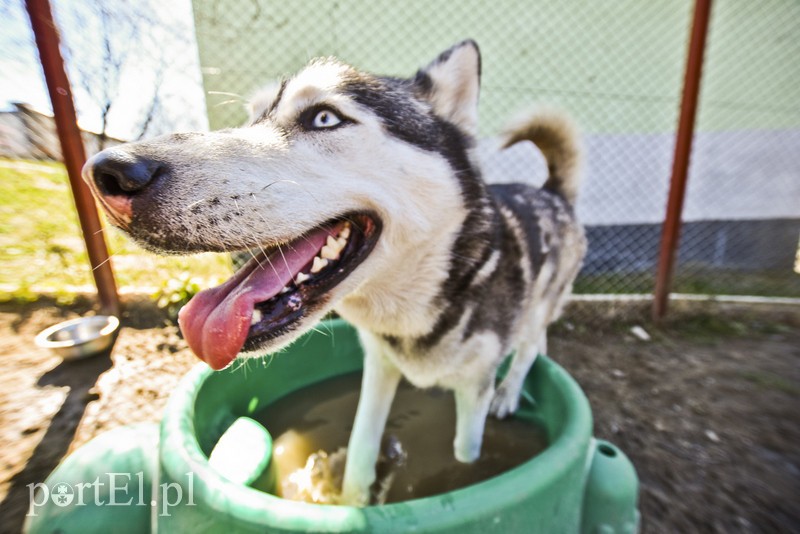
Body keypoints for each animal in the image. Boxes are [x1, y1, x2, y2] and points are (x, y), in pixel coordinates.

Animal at [83, 40, 588, 506]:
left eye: (324, 118)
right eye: (251, 118)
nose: (106, 172)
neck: (412, 313)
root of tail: (551, 193)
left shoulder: (472, 390)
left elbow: (467, 455)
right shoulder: (378, 368)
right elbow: (362, 451)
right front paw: (350, 499)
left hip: (539, 307)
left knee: (530, 347)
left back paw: (509, 392)